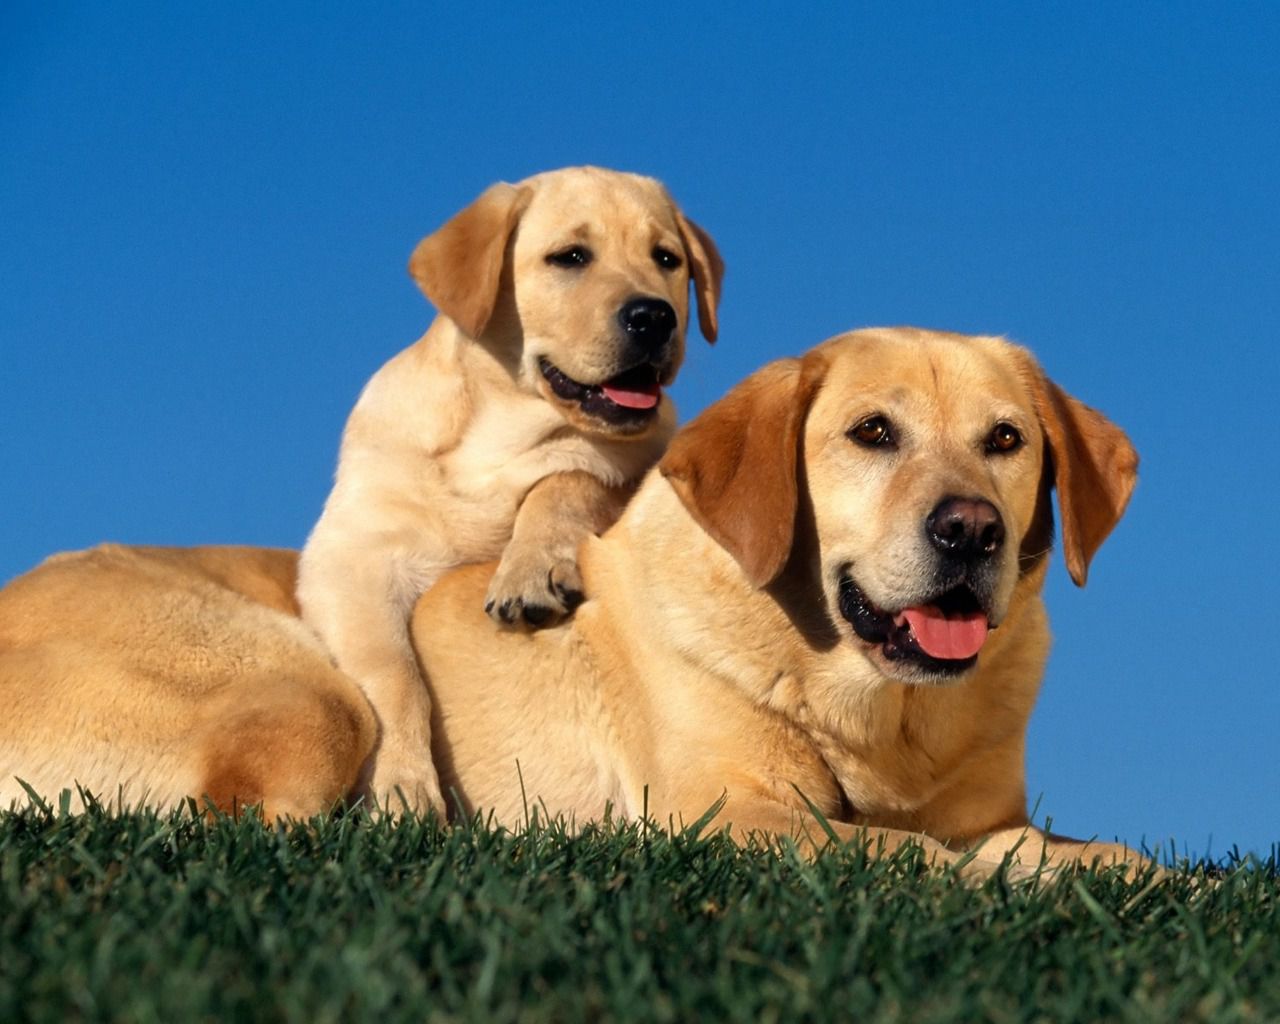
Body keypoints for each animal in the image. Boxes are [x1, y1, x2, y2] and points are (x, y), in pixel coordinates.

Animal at [0, 332, 1141, 875]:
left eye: (1006, 440)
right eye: (871, 434)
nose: (970, 530)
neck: (880, 711)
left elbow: (1023, 843)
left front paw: (1126, 871)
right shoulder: (727, 812)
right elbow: (910, 852)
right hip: (310, 691)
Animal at [294, 166, 727, 814]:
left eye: (667, 258)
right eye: (570, 257)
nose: (654, 318)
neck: (495, 433)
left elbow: (571, 476)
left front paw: (531, 567)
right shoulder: (351, 560)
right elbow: (393, 674)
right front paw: (403, 786)